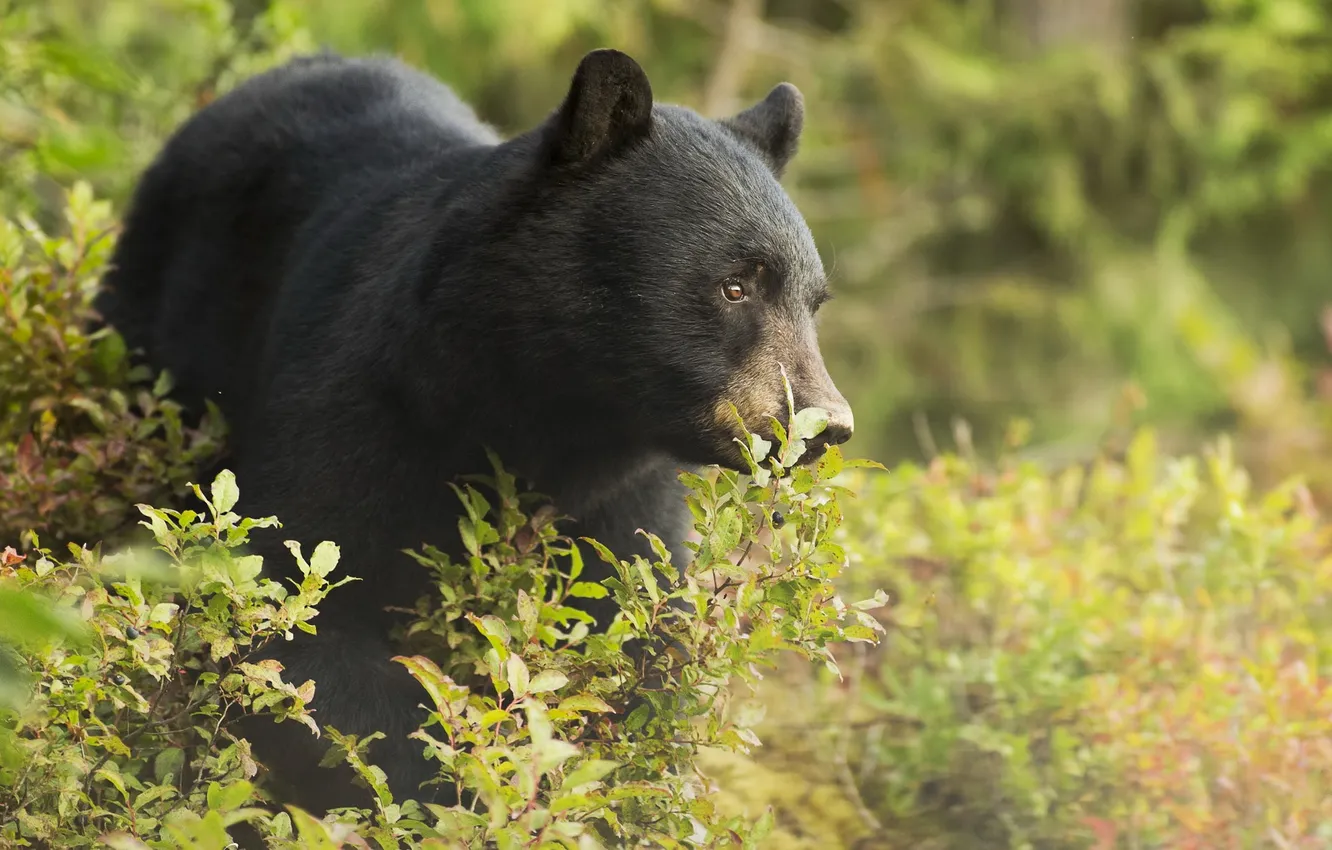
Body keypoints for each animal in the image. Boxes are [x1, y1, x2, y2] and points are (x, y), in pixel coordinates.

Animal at [101, 48, 852, 820]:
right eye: (736, 285)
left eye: (813, 301)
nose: (826, 425)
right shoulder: (358, 406)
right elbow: (287, 614)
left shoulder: (625, 497)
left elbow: (641, 636)